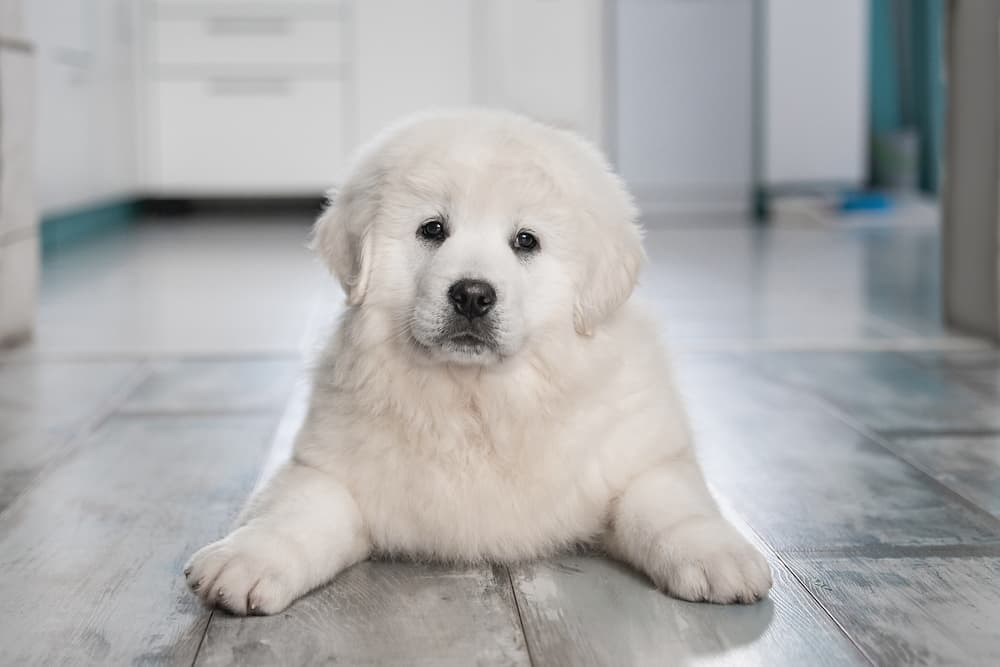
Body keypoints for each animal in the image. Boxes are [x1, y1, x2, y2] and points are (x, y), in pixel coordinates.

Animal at [184, 109, 768, 616]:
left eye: (525, 241)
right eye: (433, 230)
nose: (471, 295)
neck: (478, 399)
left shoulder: (642, 456)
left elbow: (670, 505)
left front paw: (719, 556)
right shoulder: (330, 467)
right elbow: (296, 512)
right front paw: (244, 559)